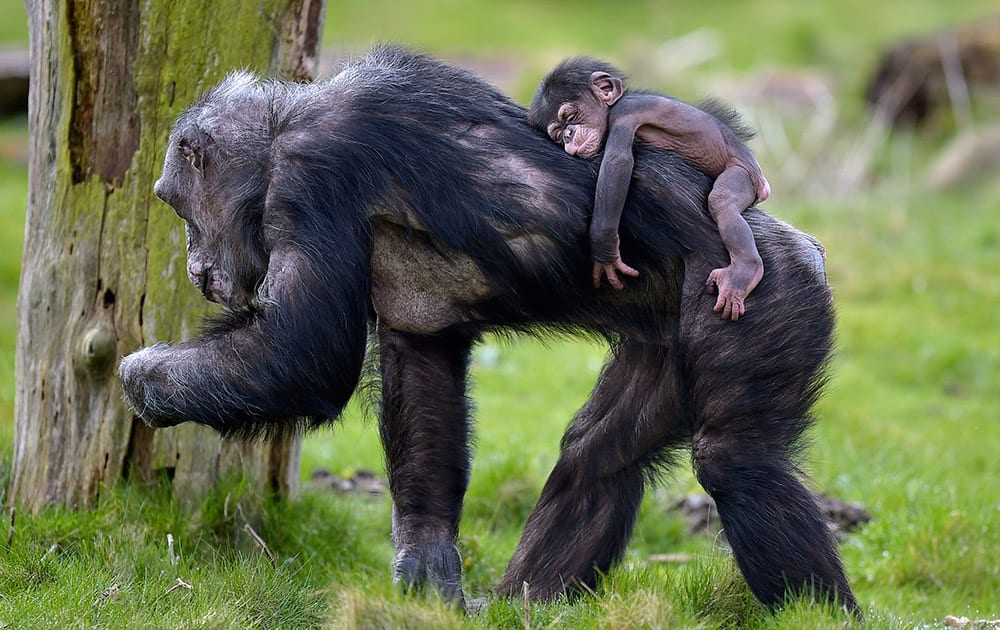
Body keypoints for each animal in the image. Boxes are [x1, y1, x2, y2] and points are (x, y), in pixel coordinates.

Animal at [528, 57, 768, 320]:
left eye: (570, 117)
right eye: (558, 134)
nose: (568, 135)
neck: (612, 107)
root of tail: (762, 182)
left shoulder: (624, 115)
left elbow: (618, 162)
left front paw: (604, 250)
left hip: (743, 175)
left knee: (722, 199)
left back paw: (744, 272)